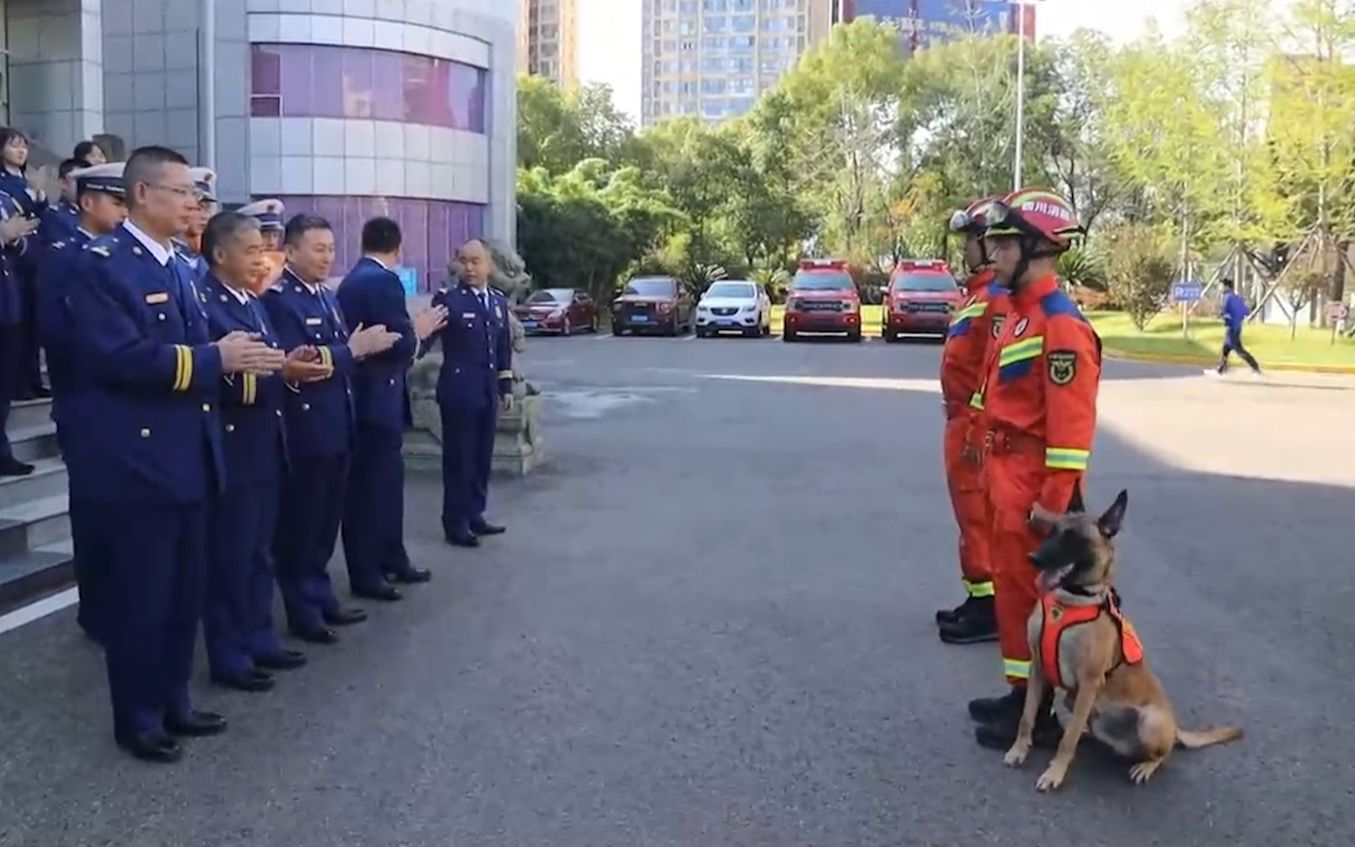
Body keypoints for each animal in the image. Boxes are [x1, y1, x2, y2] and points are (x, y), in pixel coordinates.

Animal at [1008, 493, 1241, 791]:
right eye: (1052, 532)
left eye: (1074, 538)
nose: (1033, 558)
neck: (1069, 602)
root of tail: (1175, 727)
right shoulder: (1037, 668)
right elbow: (1026, 718)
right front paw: (1018, 750)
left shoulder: (1089, 682)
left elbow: (1067, 740)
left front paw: (1054, 773)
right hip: (1077, 701)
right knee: (1085, 725)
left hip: (1149, 722)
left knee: (1163, 755)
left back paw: (1145, 765)